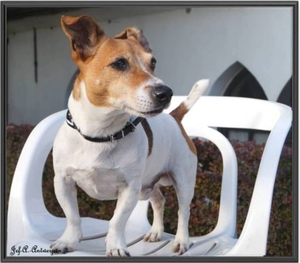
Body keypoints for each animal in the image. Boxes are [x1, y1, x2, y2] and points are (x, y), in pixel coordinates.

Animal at [49, 14, 209, 258]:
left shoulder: (129, 188)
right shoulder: (63, 181)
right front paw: (68, 241)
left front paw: (116, 246)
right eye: (119, 63)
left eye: (153, 63)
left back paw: (182, 240)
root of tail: (175, 118)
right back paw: (155, 232)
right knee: (159, 200)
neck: (101, 135)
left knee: (183, 212)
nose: (166, 93)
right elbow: (73, 217)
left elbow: (116, 221)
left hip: (183, 181)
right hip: (148, 184)